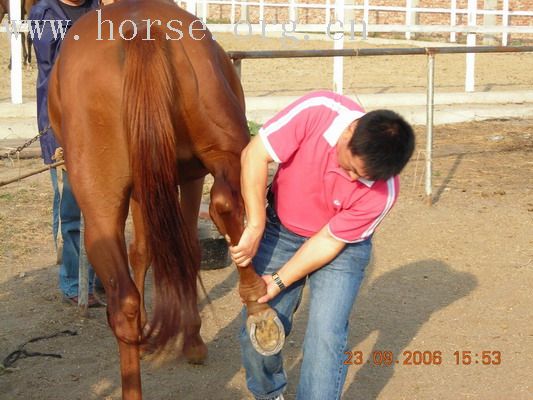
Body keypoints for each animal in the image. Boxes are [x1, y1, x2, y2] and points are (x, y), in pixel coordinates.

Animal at [47, 0, 284, 400]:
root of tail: (141, 30)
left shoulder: (163, 184)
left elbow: (155, 251)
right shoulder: (182, 178)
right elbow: (173, 249)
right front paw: (191, 339)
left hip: (101, 206)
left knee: (124, 298)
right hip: (227, 150)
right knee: (225, 204)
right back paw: (256, 305)